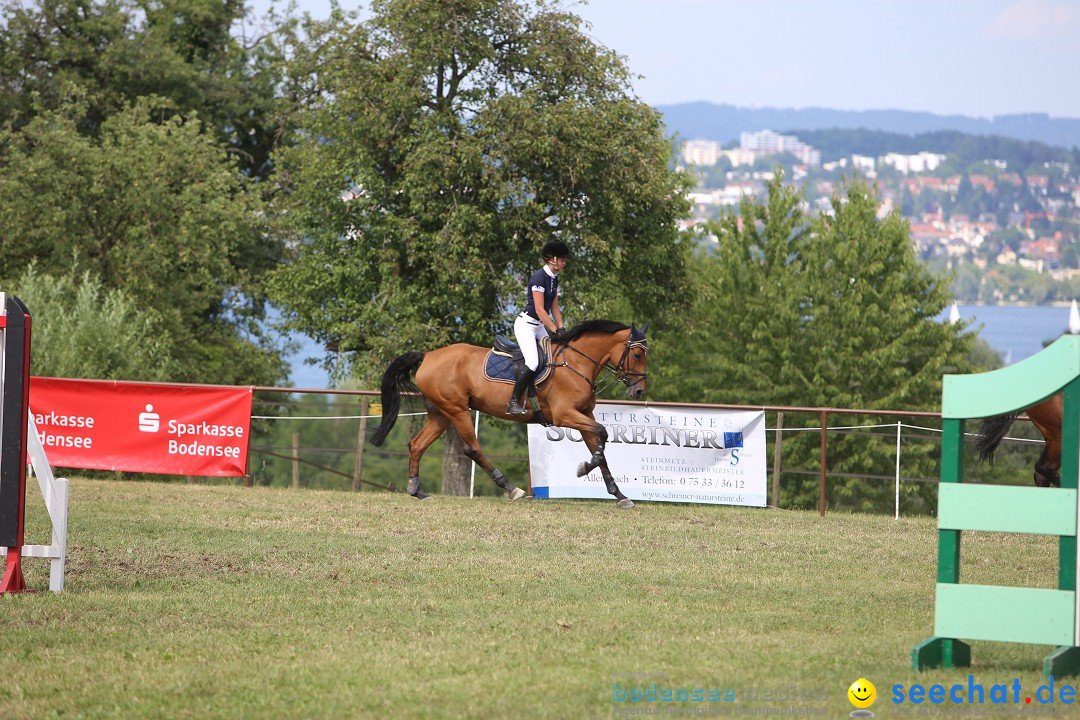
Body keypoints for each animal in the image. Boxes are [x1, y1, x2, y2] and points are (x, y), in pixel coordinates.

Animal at [371, 317, 643, 509]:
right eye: (638, 354)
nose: (639, 391)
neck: (575, 364)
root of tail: (428, 355)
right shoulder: (565, 415)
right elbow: (602, 433)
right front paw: (584, 468)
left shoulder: (585, 415)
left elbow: (600, 448)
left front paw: (619, 494)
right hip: (457, 409)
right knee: (471, 448)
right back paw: (511, 488)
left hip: (440, 414)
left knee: (417, 445)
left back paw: (416, 490)